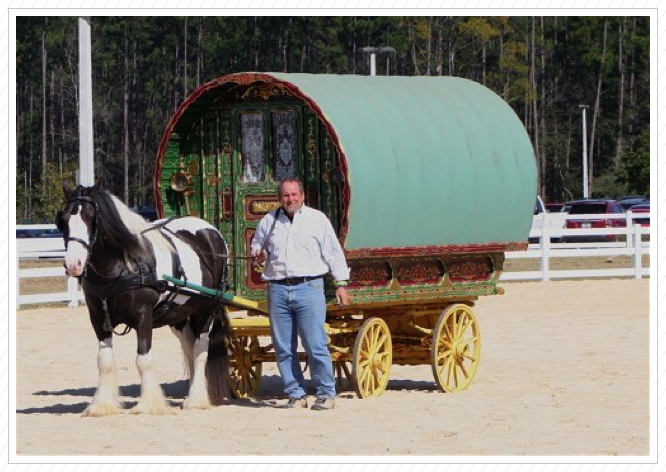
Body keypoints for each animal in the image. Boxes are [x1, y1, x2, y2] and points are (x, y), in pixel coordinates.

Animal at [57, 181, 233, 416]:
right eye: (63, 219)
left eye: (91, 217)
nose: (73, 264)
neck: (121, 268)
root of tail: (210, 230)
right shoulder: (98, 318)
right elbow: (104, 361)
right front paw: (102, 406)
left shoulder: (143, 317)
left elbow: (143, 359)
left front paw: (149, 404)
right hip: (178, 314)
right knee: (188, 348)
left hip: (206, 309)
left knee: (200, 349)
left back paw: (196, 399)